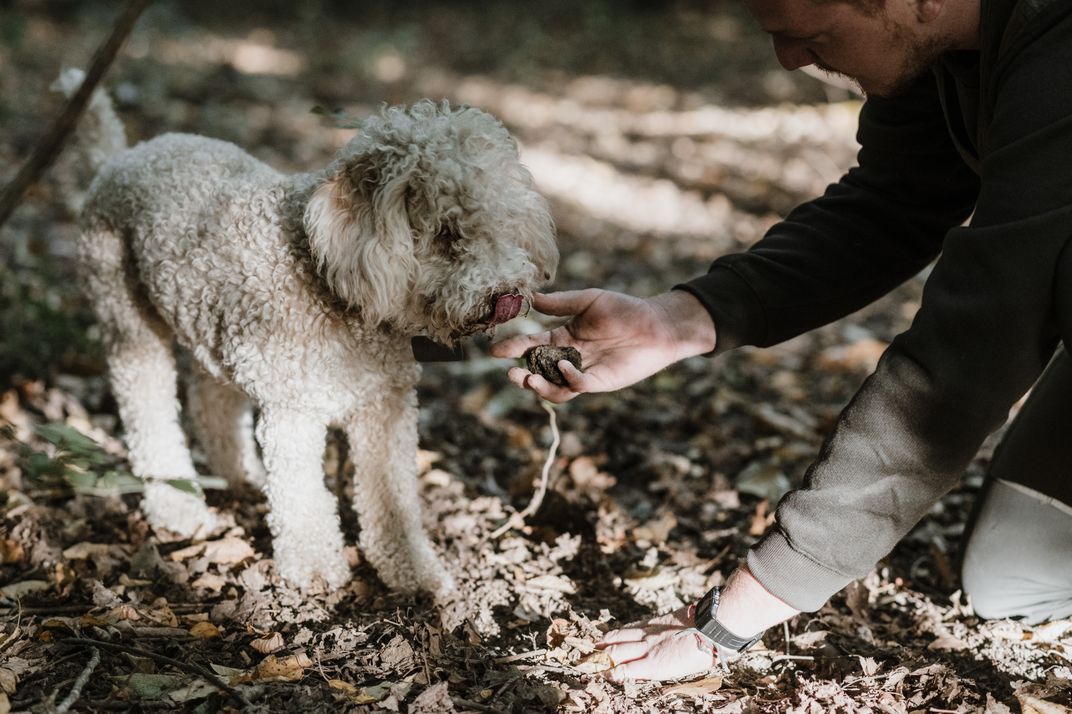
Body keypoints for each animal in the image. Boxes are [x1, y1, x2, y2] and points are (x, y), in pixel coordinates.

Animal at [56, 70, 561, 596]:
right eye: (446, 233)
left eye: (505, 223)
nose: (507, 296)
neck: (328, 277)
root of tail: (118, 157)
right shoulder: (293, 410)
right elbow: (301, 497)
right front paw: (315, 566)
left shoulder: (387, 408)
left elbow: (393, 499)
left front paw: (413, 570)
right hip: (127, 319)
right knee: (151, 414)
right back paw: (177, 507)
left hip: (211, 326)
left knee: (211, 402)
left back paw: (241, 476)